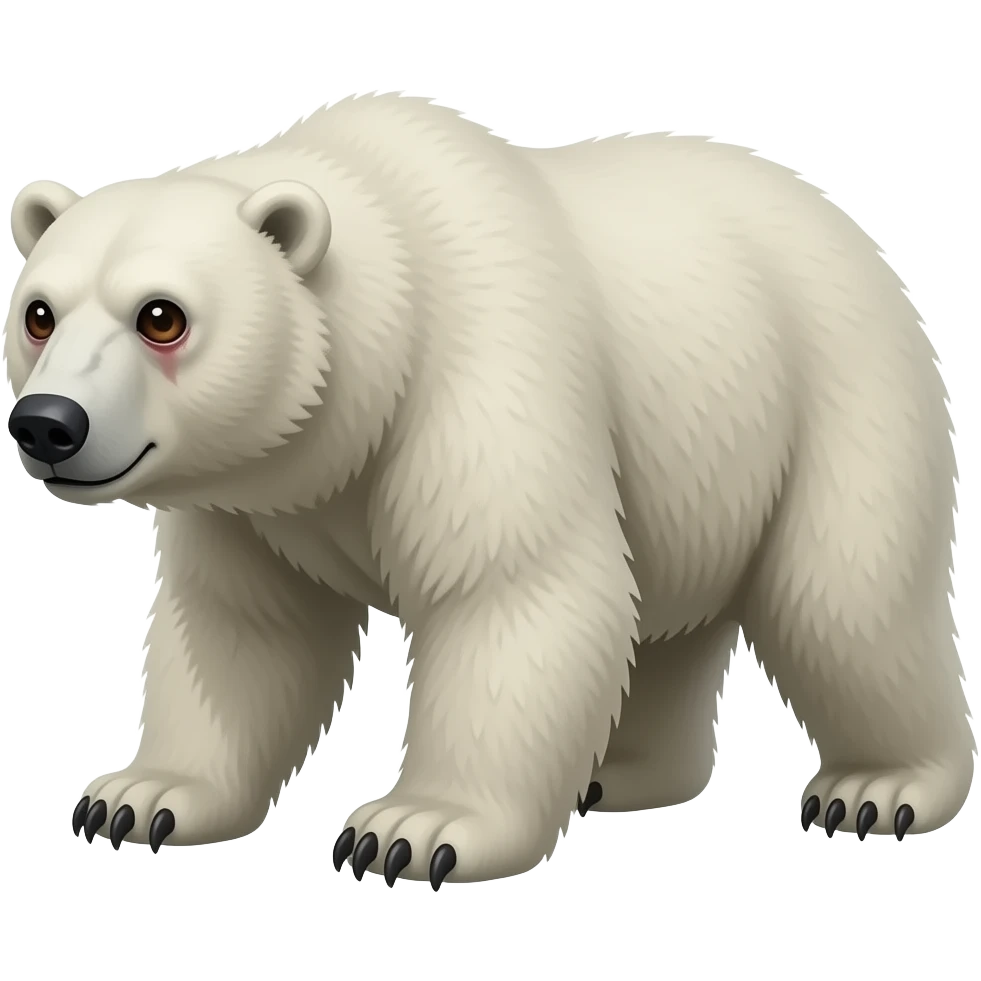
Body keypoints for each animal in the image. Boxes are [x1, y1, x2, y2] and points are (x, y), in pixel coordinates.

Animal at [5, 92, 973, 887]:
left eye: (162, 315)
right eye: (39, 312)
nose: (48, 422)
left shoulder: (479, 368)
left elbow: (514, 589)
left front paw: (410, 828)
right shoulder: (252, 499)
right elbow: (242, 628)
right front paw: (136, 797)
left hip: (839, 396)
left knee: (841, 602)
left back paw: (876, 787)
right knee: (664, 619)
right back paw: (617, 769)